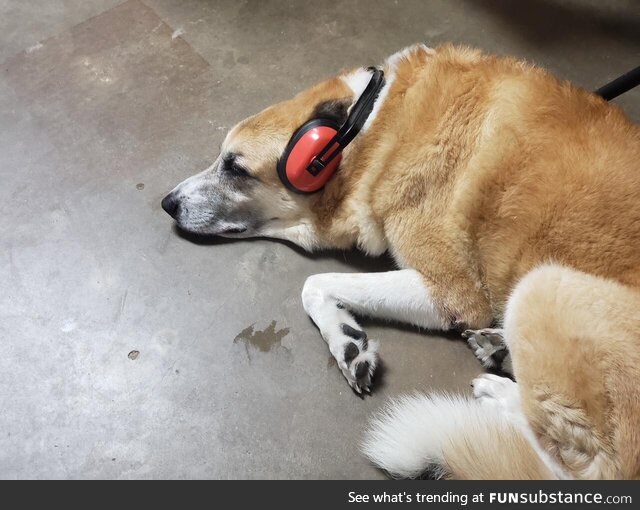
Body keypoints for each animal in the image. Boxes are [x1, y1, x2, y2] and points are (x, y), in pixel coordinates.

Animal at [161, 43, 640, 478]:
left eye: (236, 168)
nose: (167, 203)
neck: (368, 131)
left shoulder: (450, 291)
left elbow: (314, 283)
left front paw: (346, 342)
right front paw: (345, 336)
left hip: (543, 285)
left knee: (575, 464)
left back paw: (499, 395)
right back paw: (498, 346)